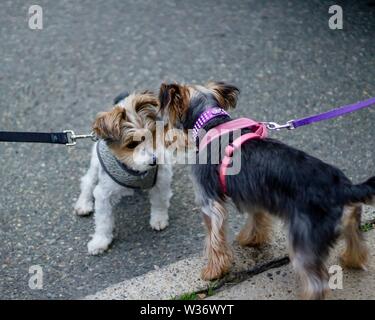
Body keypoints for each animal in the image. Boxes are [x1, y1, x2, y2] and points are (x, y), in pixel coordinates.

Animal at [74, 90, 174, 255]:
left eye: (152, 134)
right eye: (132, 144)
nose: (154, 160)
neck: (137, 172)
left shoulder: (161, 179)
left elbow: (159, 202)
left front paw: (159, 219)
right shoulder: (104, 194)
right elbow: (103, 221)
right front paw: (100, 241)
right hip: (96, 163)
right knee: (87, 181)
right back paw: (83, 204)